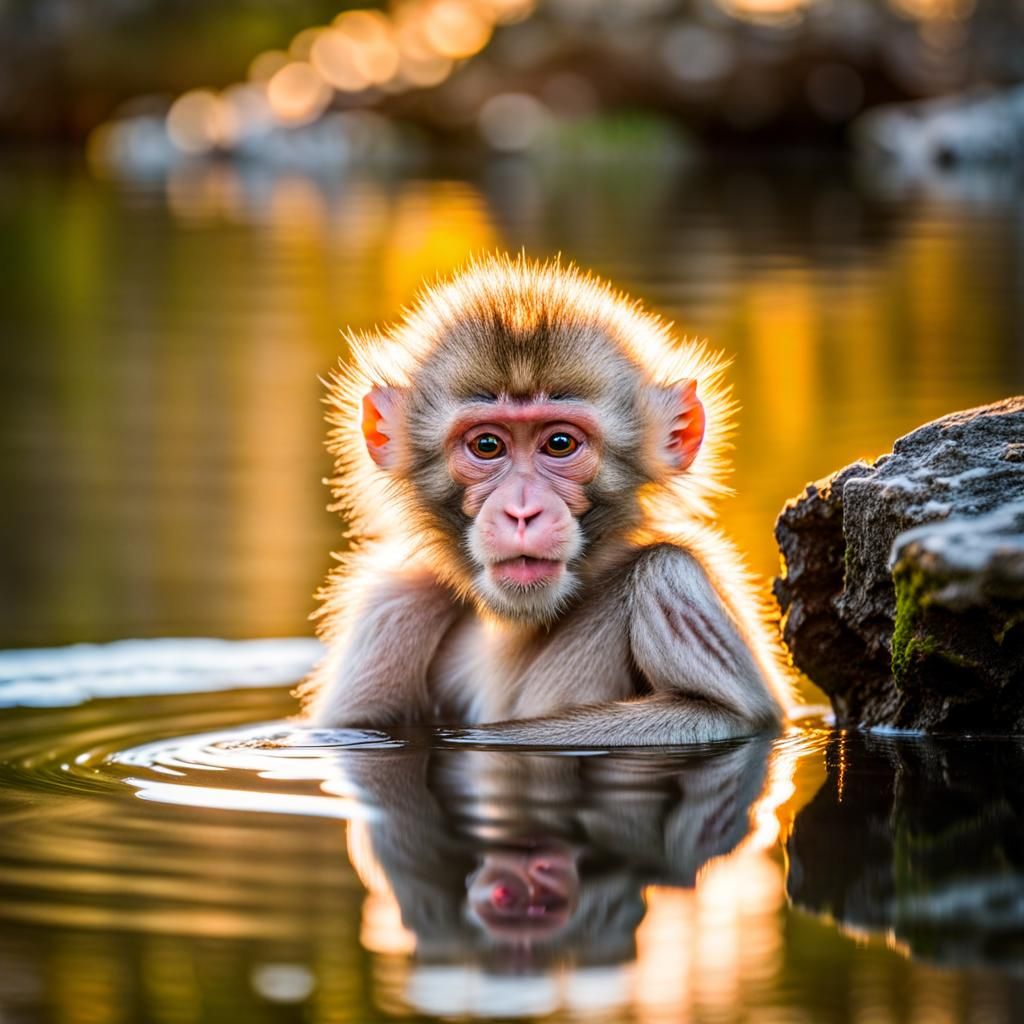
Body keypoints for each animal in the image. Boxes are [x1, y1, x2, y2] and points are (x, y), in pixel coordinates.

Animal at [299, 255, 792, 744]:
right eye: (487, 446)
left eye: (559, 443)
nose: (522, 511)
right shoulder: (392, 604)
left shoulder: (673, 579)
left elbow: (728, 716)